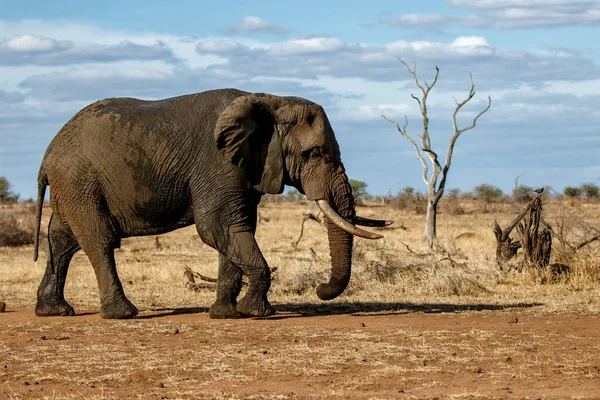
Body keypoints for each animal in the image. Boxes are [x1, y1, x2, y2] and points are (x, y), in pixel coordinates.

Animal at [32, 89, 392, 320]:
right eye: (314, 153)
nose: (319, 288)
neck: (271, 99)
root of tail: (47, 154)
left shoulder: (245, 167)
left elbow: (235, 230)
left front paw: (225, 315)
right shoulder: (217, 162)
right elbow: (217, 226)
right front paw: (256, 312)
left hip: (72, 186)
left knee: (61, 239)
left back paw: (54, 312)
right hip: (79, 181)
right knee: (98, 239)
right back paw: (122, 314)